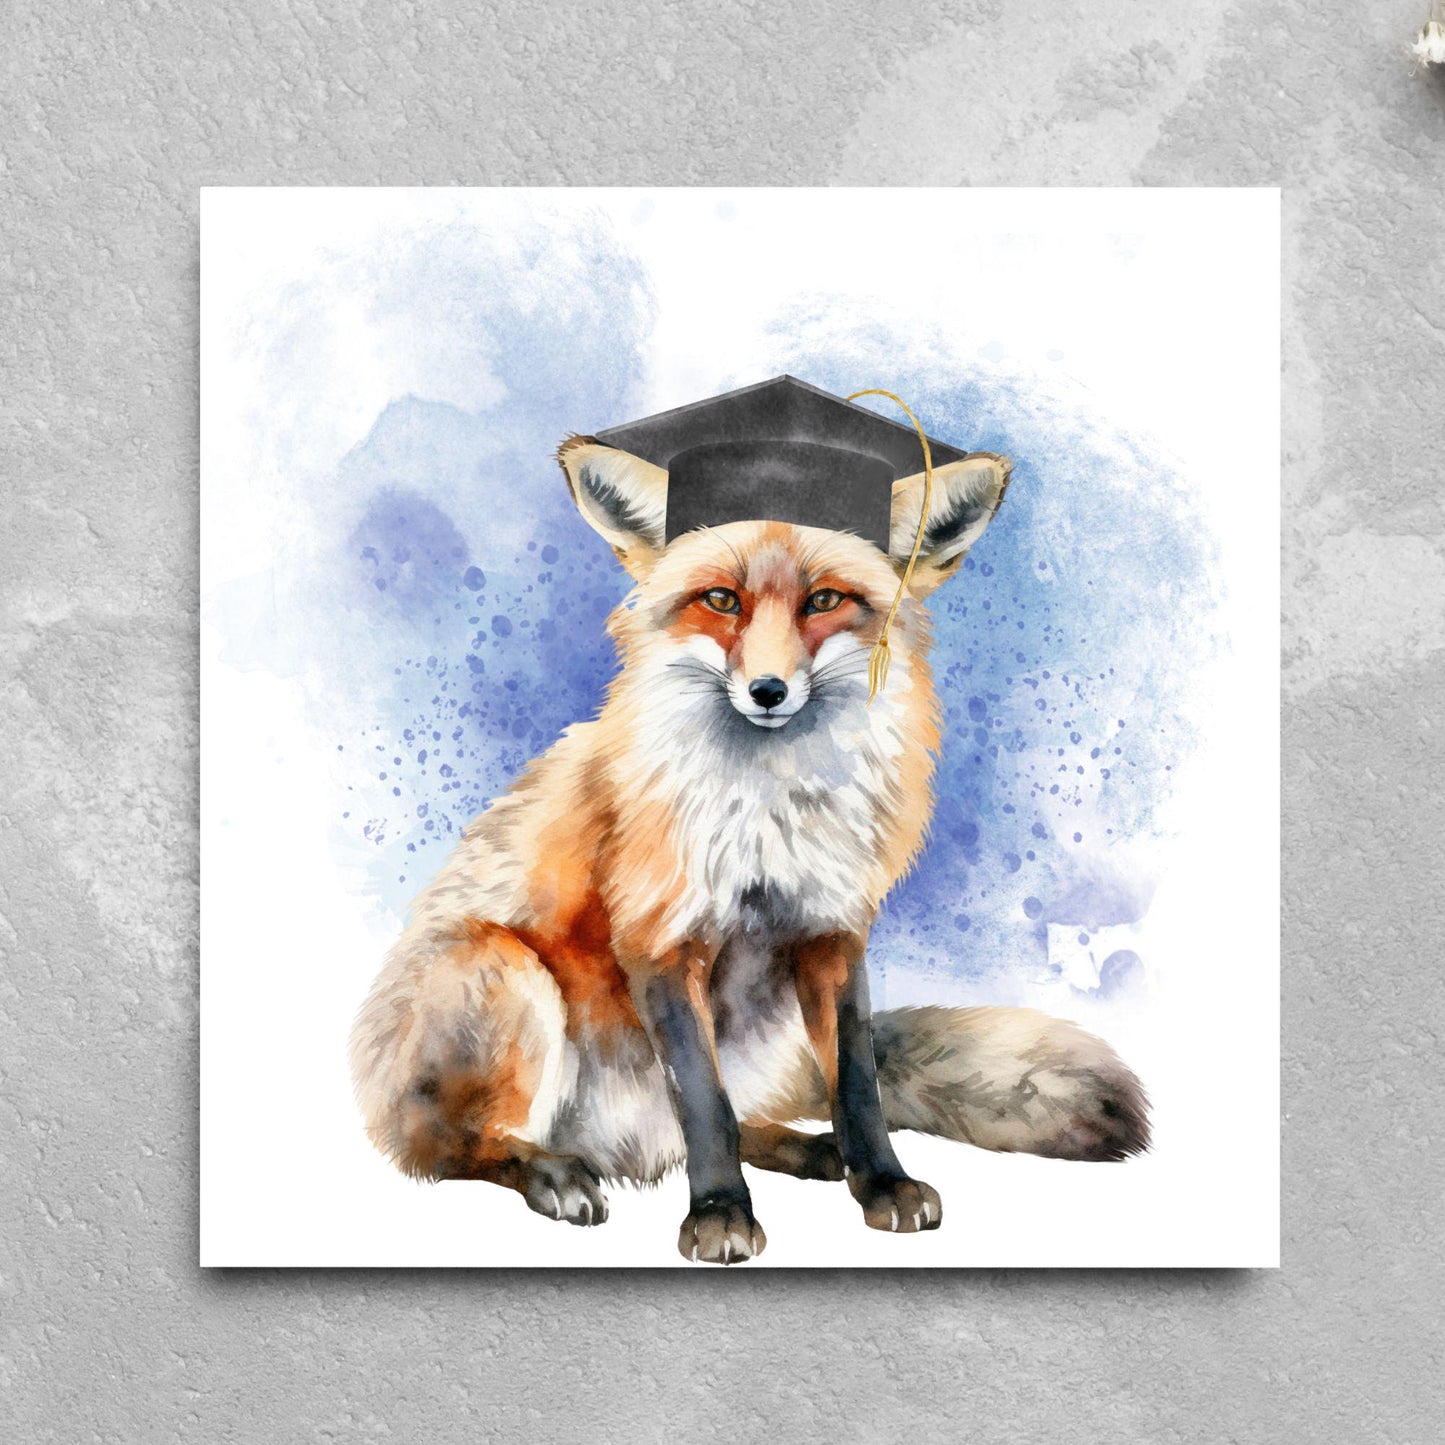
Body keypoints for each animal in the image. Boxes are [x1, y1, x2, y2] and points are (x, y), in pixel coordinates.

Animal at [349, 427, 1149, 1263]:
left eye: (823, 600)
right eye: (721, 600)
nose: (768, 690)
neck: (773, 813)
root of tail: (617, 1149)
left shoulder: (832, 933)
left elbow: (854, 1085)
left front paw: (882, 1181)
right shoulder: (662, 938)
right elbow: (706, 1105)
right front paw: (719, 1214)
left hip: (763, 1027)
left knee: (738, 1120)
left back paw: (811, 1148)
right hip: (504, 973)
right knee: (447, 1148)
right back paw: (551, 1173)